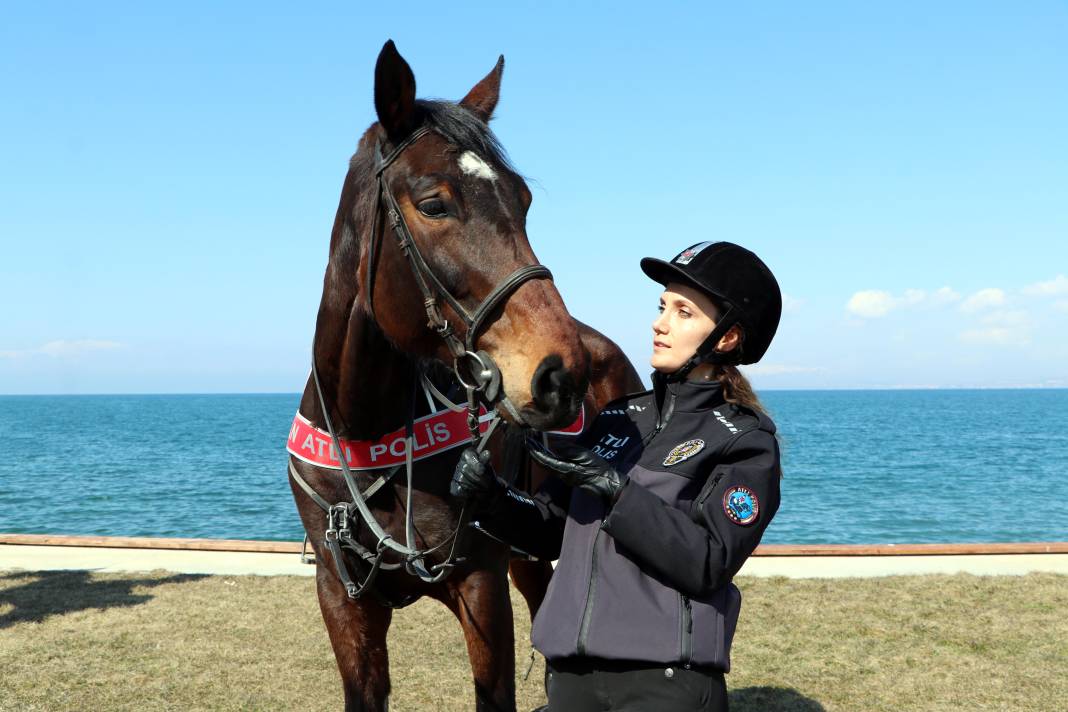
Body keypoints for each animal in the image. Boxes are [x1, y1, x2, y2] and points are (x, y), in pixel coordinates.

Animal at [290, 41, 640, 708]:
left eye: (522, 200)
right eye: (433, 203)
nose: (562, 374)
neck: (367, 433)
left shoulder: (481, 582)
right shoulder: (341, 598)